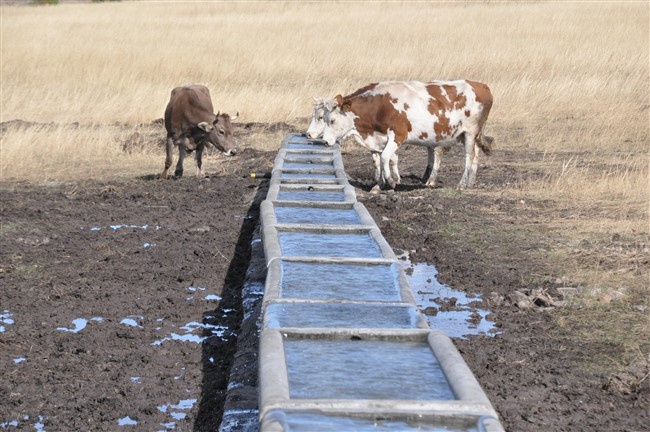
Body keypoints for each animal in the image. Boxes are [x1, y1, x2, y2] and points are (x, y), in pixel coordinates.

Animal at [322, 81, 494, 189]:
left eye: (332, 120)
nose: (324, 141)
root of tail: (481, 85)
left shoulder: (398, 135)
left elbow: (385, 157)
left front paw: (391, 181)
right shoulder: (379, 139)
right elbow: (380, 158)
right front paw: (380, 184)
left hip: (470, 131)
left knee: (469, 156)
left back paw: (461, 184)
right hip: (468, 134)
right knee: (475, 154)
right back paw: (470, 182)